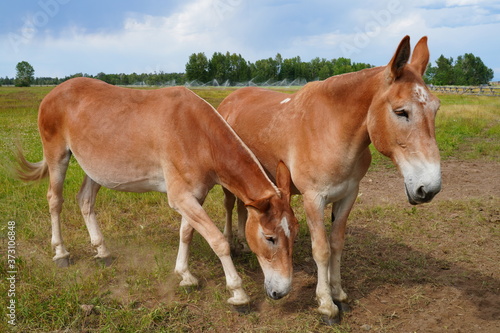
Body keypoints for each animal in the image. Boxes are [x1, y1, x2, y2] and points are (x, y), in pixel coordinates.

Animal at [15, 76, 298, 304]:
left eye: (294, 233)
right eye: (270, 237)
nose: (281, 292)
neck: (197, 134)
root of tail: (54, 92)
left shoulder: (194, 196)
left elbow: (187, 234)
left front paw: (185, 275)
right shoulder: (180, 197)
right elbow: (218, 241)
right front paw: (237, 292)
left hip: (94, 168)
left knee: (85, 200)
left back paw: (102, 250)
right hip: (57, 157)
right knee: (55, 200)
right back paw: (61, 253)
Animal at [219, 35, 442, 320]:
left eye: (435, 109)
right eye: (401, 111)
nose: (430, 187)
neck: (332, 130)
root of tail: (231, 98)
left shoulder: (348, 195)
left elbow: (336, 243)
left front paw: (338, 293)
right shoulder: (313, 200)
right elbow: (321, 250)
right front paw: (326, 304)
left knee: (242, 207)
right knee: (229, 205)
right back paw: (231, 240)